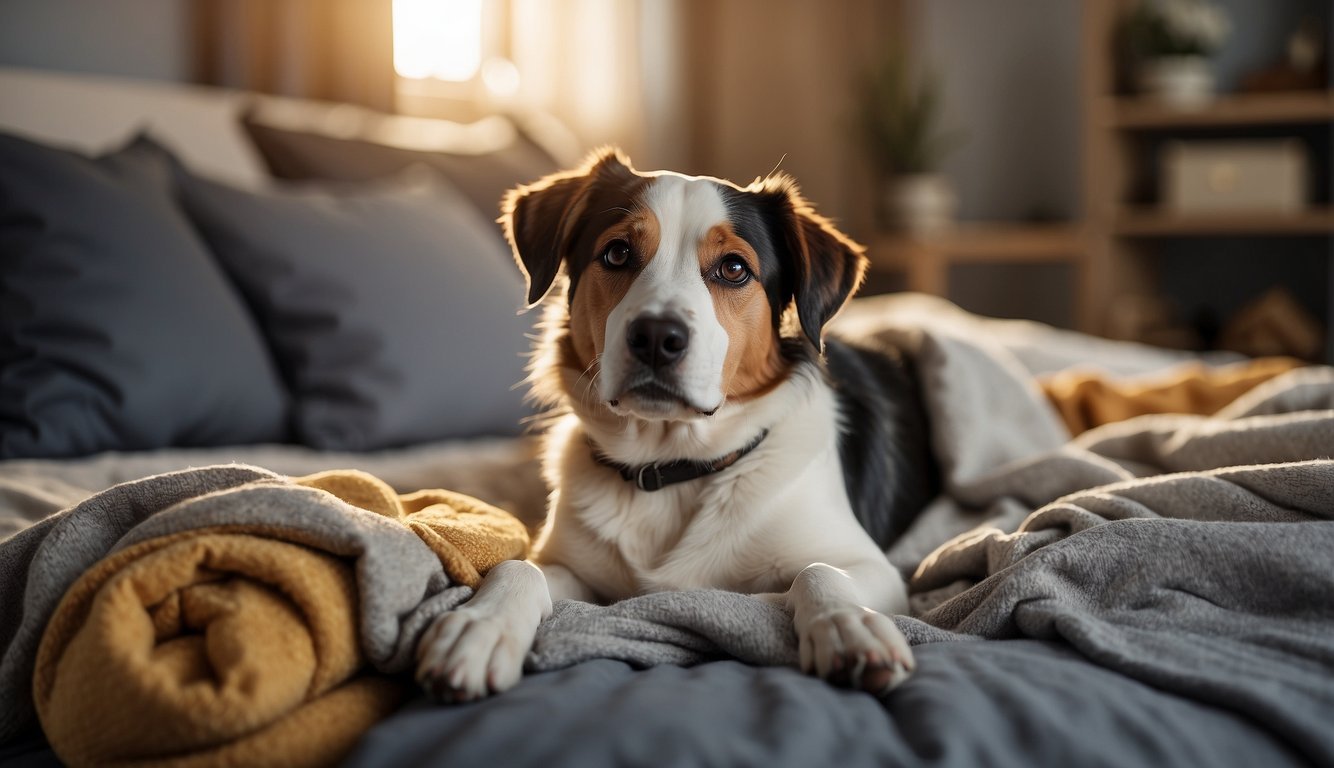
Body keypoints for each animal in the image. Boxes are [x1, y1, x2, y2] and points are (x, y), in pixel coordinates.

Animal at [416, 148, 939, 704]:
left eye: (734, 268)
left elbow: (820, 571)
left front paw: (848, 627)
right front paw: (480, 626)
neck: (668, 467)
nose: (655, 337)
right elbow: (518, 566)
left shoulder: (878, 570)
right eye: (617, 253)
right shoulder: (571, 566)